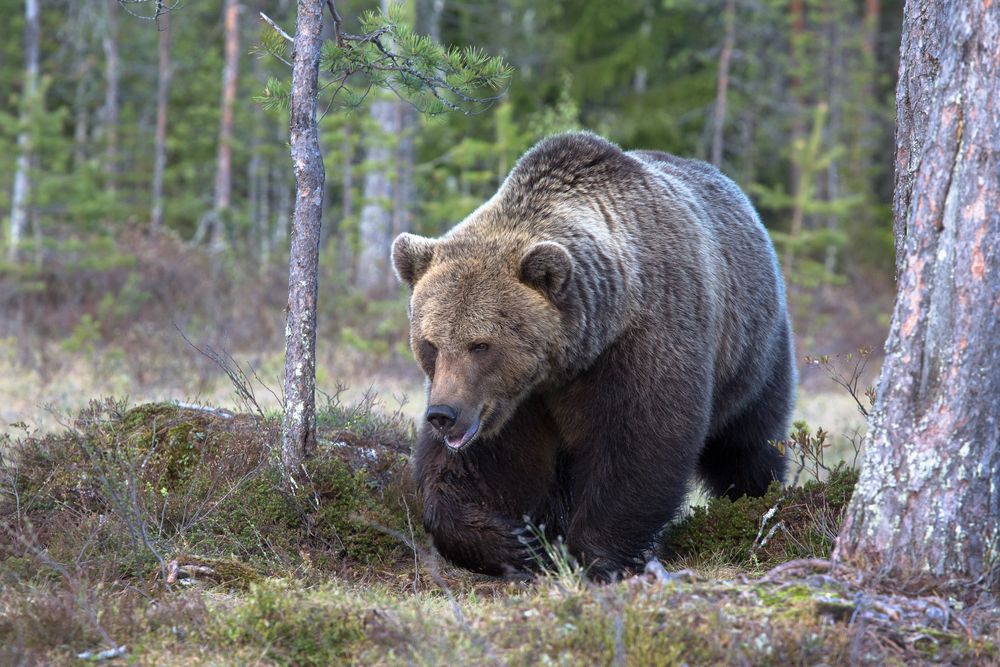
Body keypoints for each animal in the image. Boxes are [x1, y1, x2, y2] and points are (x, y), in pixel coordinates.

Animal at [394, 130, 792, 580]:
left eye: (481, 344)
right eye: (431, 343)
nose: (442, 414)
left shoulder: (642, 344)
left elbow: (640, 449)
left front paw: (591, 556)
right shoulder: (513, 405)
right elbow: (469, 471)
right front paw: (521, 543)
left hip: (754, 352)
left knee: (749, 441)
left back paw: (756, 499)